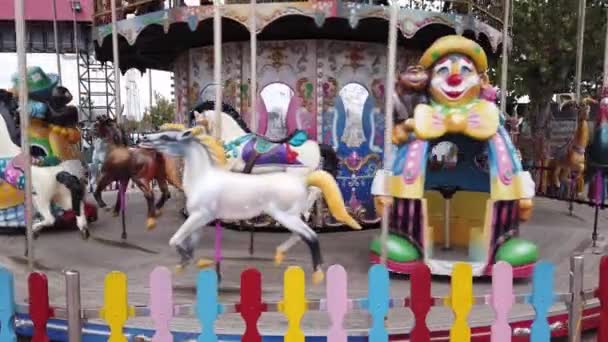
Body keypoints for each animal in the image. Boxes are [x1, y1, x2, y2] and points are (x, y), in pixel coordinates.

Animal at [141, 125, 360, 284]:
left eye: (167, 137)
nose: (143, 138)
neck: (202, 178)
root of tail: (302, 181)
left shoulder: (200, 215)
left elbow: (175, 239)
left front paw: (190, 260)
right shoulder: (200, 219)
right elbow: (189, 243)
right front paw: (186, 262)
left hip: (285, 215)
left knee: (311, 236)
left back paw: (317, 273)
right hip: (291, 216)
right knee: (302, 234)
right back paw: (280, 254)